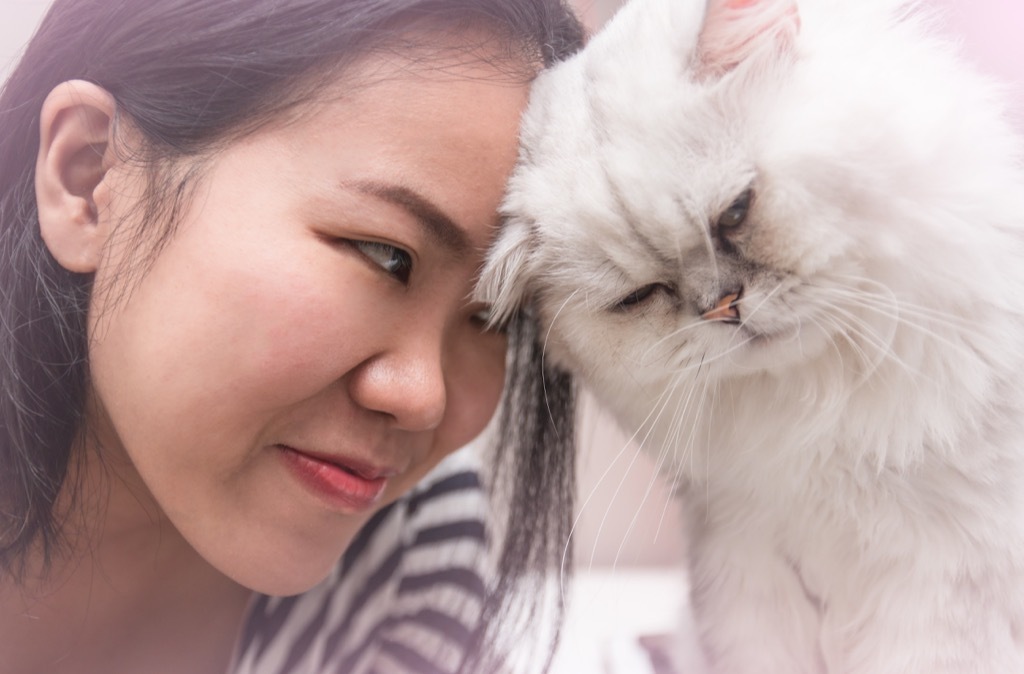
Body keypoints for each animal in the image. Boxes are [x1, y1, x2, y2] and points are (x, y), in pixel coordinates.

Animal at [475, 0, 1024, 667]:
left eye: (735, 212)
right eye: (641, 296)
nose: (724, 308)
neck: (816, 417)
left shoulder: (943, 582)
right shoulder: (743, 568)